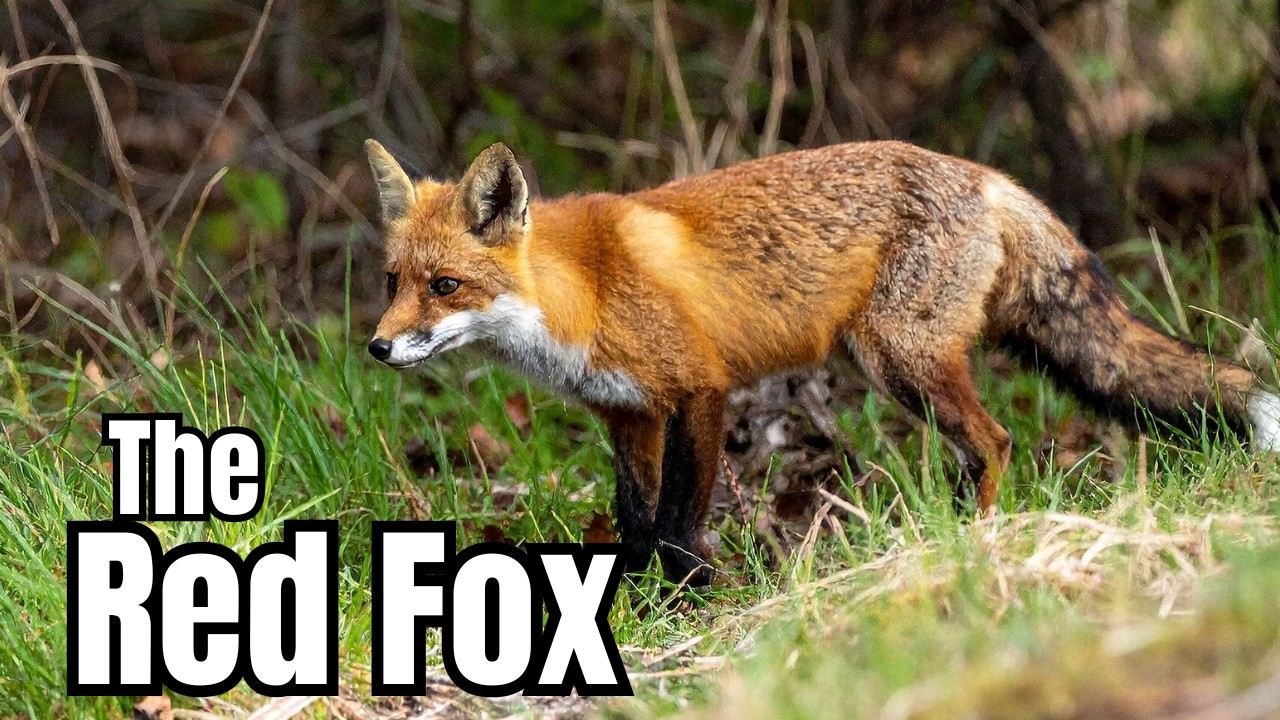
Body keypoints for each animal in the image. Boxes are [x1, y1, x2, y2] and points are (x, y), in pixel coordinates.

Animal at [363, 138, 1280, 585]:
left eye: (445, 285)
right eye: (392, 282)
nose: (377, 346)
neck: (578, 292)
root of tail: (984, 174)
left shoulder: (698, 391)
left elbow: (677, 522)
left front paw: (692, 599)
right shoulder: (626, 413)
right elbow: (634, 519)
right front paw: (632, 603)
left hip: (897, 358)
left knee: (995, 442)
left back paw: (974, 545)